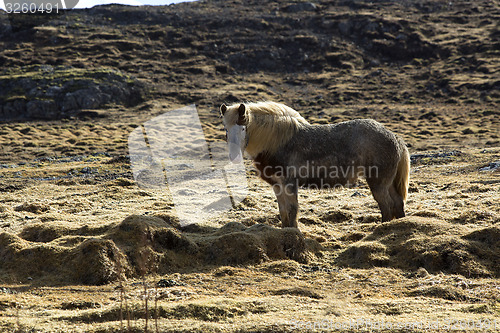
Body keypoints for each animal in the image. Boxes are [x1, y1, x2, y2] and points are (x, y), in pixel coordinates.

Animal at [221, 100, 408, 227]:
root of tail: (395, 138)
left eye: (243, 128)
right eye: (226, 129)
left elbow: (292, 210)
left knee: (387, 206)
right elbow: (283, 212)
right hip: (389, 183)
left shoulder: (289, 184)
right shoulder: (277, 185)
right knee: (397, 203)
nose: (234, 157)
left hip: (378, 183)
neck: (277, 142)